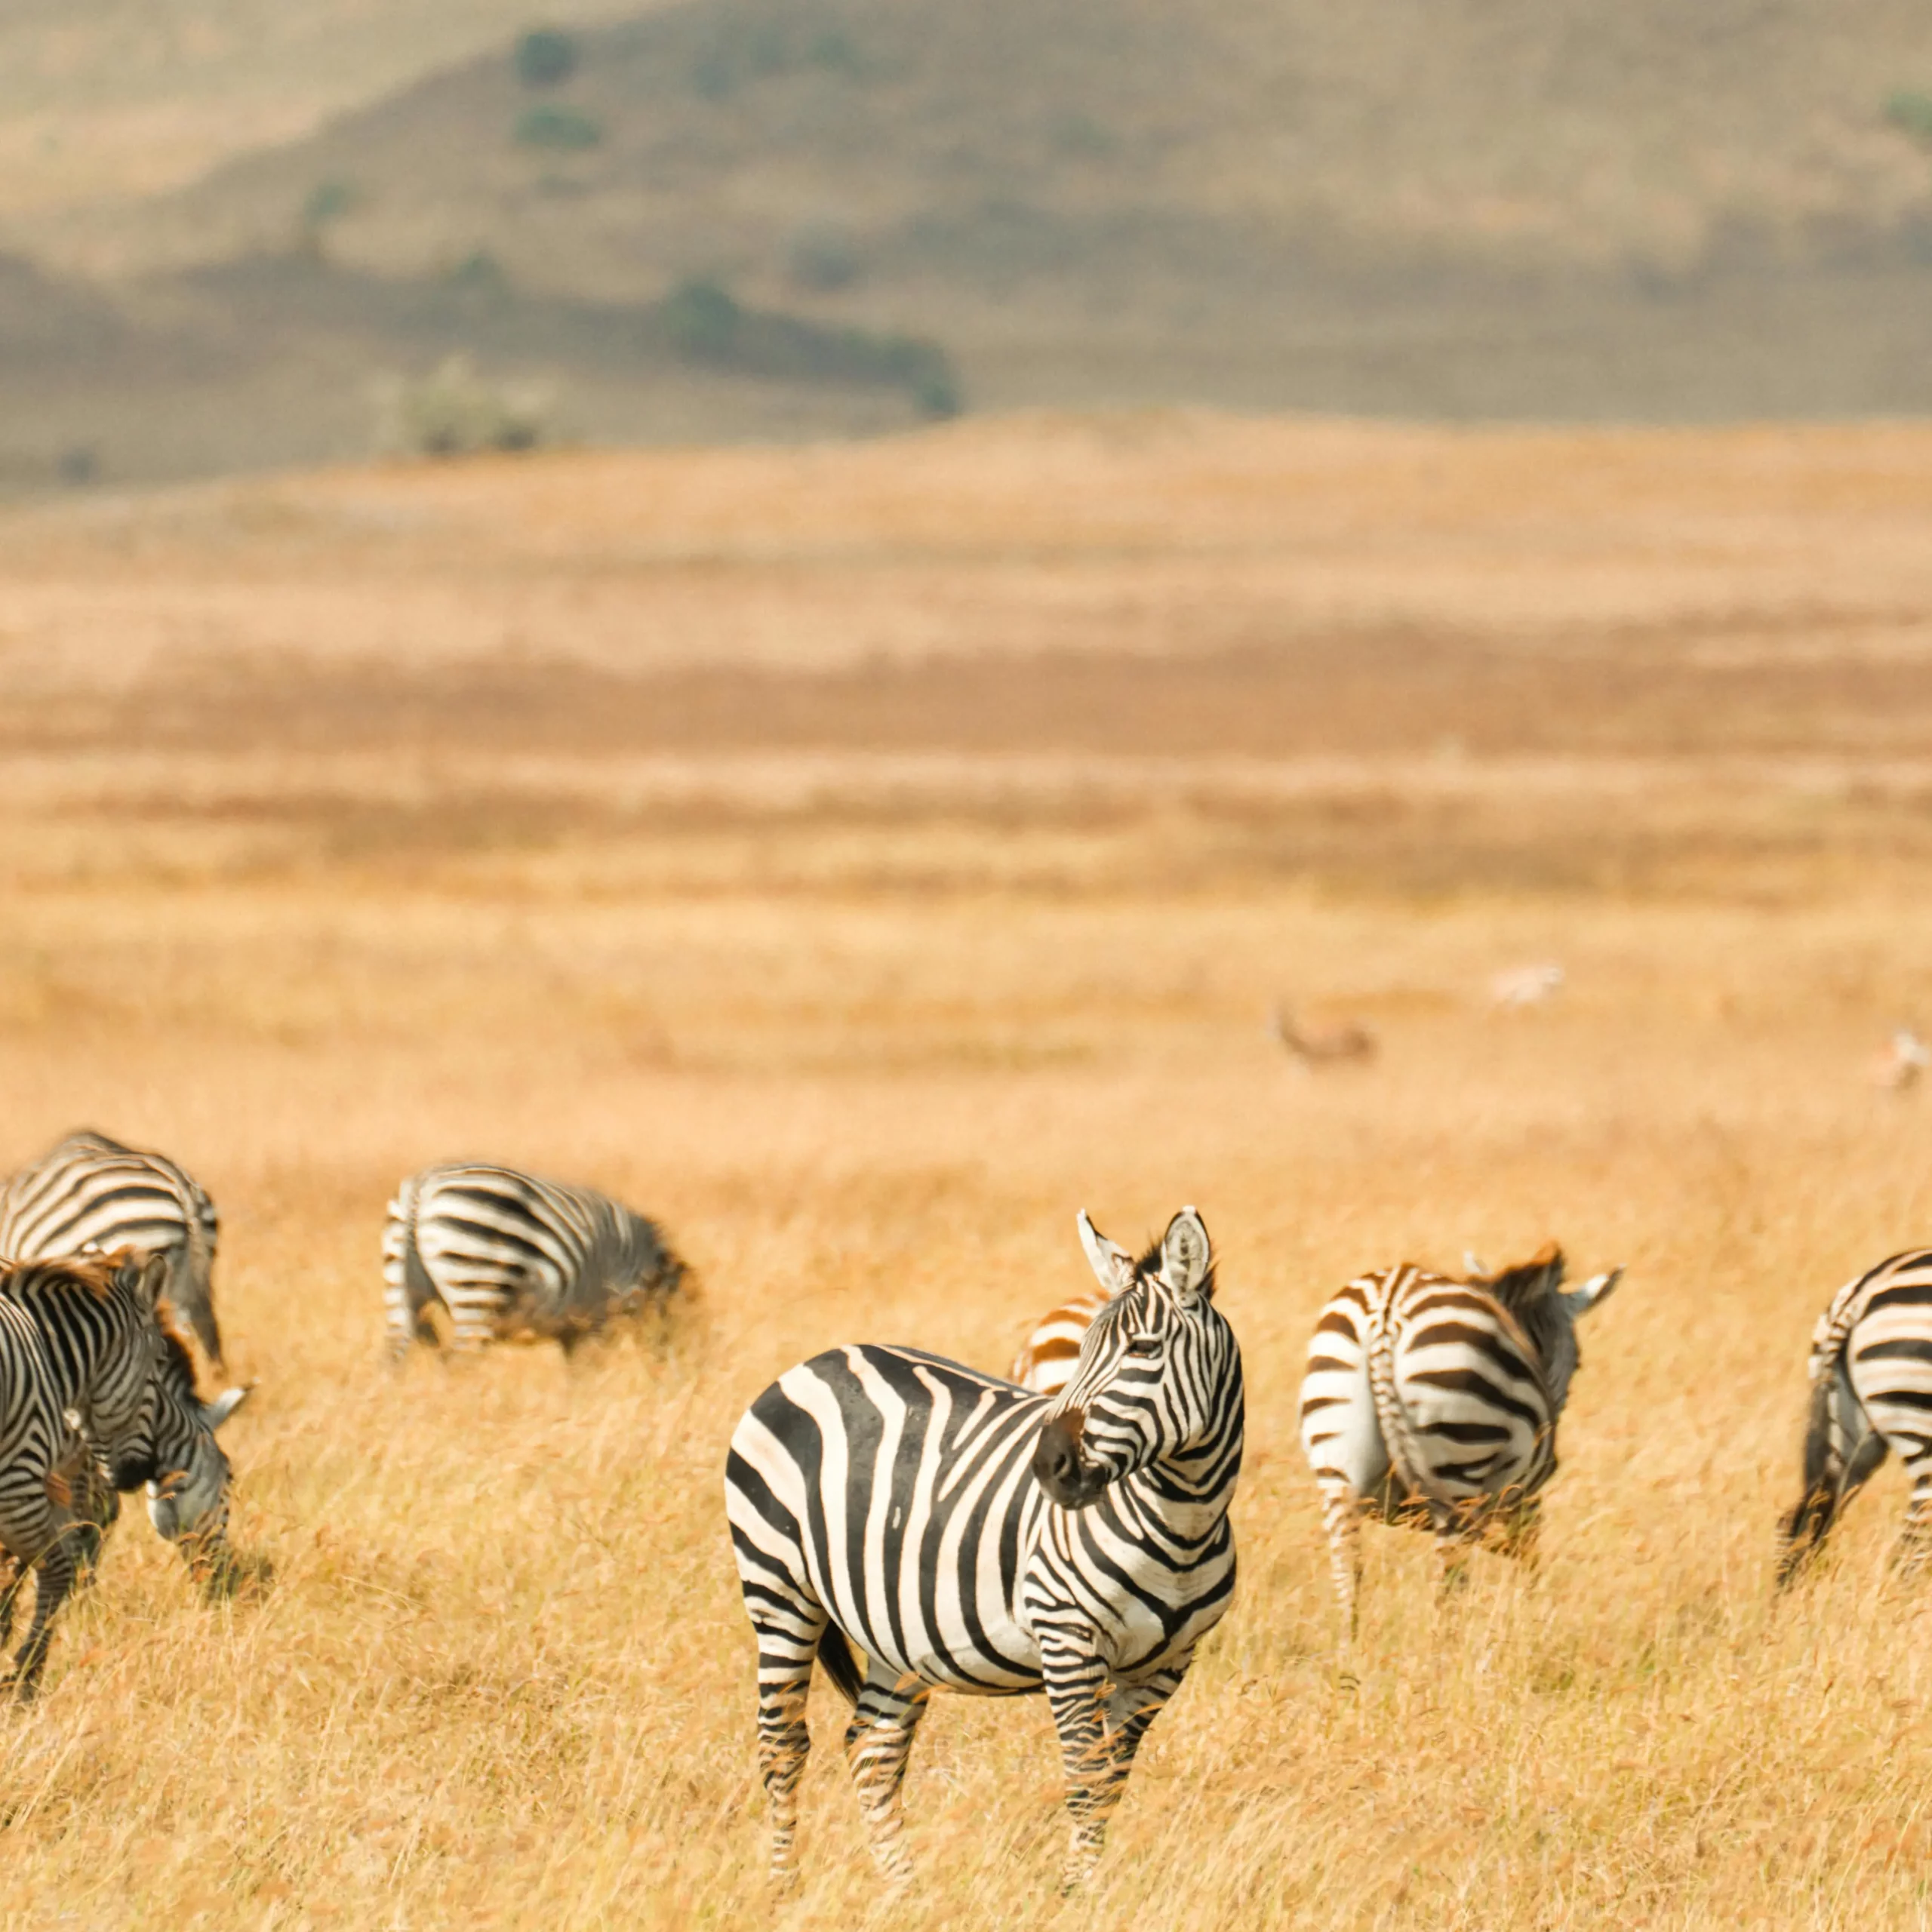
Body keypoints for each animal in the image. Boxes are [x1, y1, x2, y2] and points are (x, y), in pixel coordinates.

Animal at [0, 1251, 248, 1696]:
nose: (225, 1583)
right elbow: (63, 1551)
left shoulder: (53, 1472)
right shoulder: (29, 1472)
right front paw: (24, 1672)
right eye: (230, 1480)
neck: (56, 1356)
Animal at [384, 1162, 688, 1359]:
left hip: (399, 1285)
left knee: (394, 1353)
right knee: (459, 1359)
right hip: (477, 1282)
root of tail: (421, 1189)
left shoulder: (575, 1326)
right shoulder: (599, 1314)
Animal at [726, 1206, 1242, 1892]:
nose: (1048, 1466)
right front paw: (1077, 1896)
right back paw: (785, 1887)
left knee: (872, 1749)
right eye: (1081, 1351)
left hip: (895, 1628)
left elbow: (1110, 1783)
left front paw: (1087, 1888)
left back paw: (904, 1893)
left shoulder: (1167, 1665)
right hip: (778, 1586)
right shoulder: (1067, 1636)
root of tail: (816, 1361)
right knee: (783, 1744)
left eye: (1143, 1349)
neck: (1184, 1522)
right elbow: (1085, 1778)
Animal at [1298, 1246, 1621, 1651]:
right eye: (1578, 1363)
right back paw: (1445, 1658)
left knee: (1348, 1571)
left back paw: (1350, 1652)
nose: (1555, 1458)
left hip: (1337, 1467)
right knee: (1448, 1583)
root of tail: (1387, 1309)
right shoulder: (1524, 1498)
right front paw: (1529, 1625)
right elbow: (1528, 1563)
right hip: (1458, 1462)